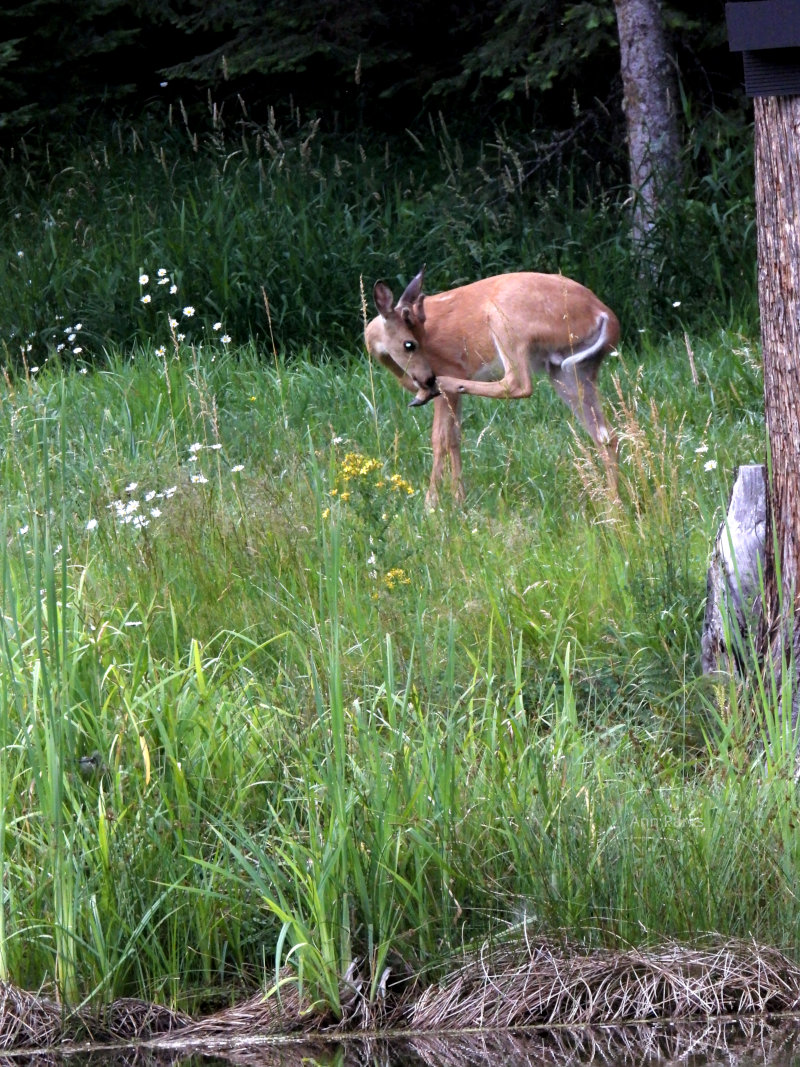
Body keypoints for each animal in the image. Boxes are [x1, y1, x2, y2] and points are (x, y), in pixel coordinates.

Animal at [366, 268, 622, 505]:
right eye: (409, 343)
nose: (427, 379)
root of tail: (606, 316)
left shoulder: (449, 369)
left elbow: (440, 438)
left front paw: (432, 503)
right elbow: (454, 436)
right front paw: (459, 498)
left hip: (508, 324)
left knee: (518, 384)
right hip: (570, 368)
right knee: (604, 433)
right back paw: (613, 500)